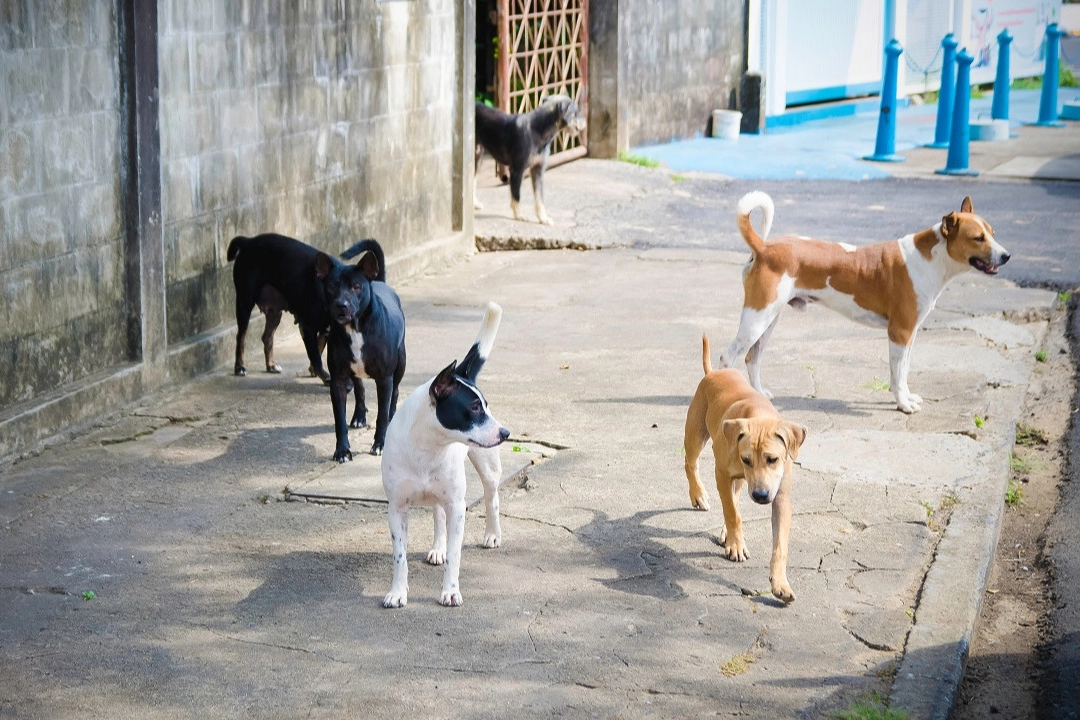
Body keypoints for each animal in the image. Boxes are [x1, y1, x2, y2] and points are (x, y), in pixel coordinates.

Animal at [225, 235, 330, 382]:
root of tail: (248, 241)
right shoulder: (307, 327)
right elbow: (316, 356)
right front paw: (323, 375)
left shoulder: (325, 330)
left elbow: (318, 351)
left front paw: (314, 370)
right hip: (244, 304)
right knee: (241, 338)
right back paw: (239, 367)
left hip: (275, 314)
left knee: (267, 337)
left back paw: (271, 365)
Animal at [317, 237, 410, 462]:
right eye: (332, 286)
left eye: (356, 287)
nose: (341, 305)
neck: (355, 328)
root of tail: (379, 281)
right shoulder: (338, 380)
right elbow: (339, 420)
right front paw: (342, 451)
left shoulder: (384, 379)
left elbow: (381, 415)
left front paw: (380, 444)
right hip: (355, 372)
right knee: (359, 388)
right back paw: (359, 416)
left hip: (400, 364)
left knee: (395, 393)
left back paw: (392, 416)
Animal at [382, 300, 511, 608]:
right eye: (474, 407)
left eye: (485, 405)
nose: (505, 433)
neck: (429, 447)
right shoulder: (397, 509)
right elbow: (400, 557)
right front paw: (398, 591)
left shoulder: (457, 506)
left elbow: (456, 554)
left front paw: (450, 590)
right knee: (438, 514)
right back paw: (438, 548)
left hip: (487, 468)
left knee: (491, 498)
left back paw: (492, 534)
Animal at [475, 94, 587, 225]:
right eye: (576, 112)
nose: (585, 121)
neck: (538, 129)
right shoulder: (517, 170)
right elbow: (516, 195)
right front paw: (519, 216)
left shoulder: (537, 170)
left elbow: (540, 198)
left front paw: (543, 218)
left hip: (477, 158)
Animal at [682, 336, 803, 604]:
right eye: (745, 459)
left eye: (773, 459)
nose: (760, 496)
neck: (758, 415)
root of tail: (713, 373)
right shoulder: (722, 473)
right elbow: (732, 512)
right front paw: (737, 545)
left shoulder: (781, 496)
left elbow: (780, 544)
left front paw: (780, 584)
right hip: (696, 431)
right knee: (690, 463)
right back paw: (698, 495)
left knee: (735, 495)